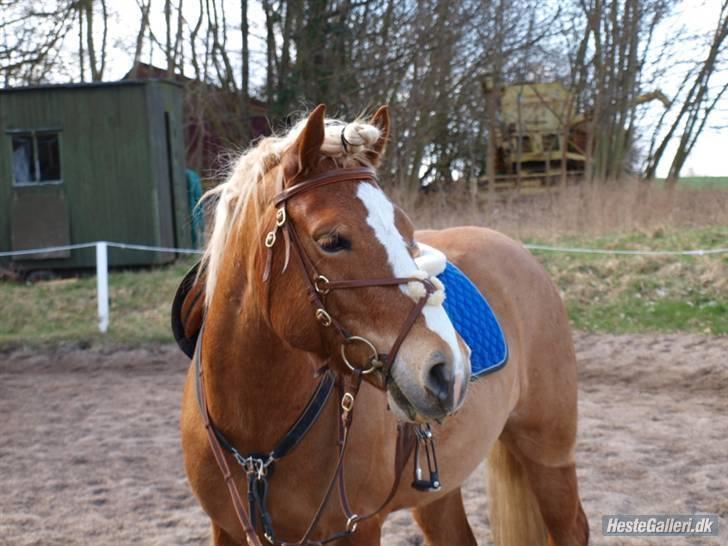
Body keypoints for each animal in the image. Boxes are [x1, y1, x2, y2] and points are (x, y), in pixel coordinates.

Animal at [179, 104, 588, 540]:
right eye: (331, 240)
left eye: (407, 230)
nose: (450, 370)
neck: (257, 441)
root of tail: (517, 250)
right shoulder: (227, 530)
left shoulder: (359, 529)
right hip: (440, 495)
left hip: (549, 456)